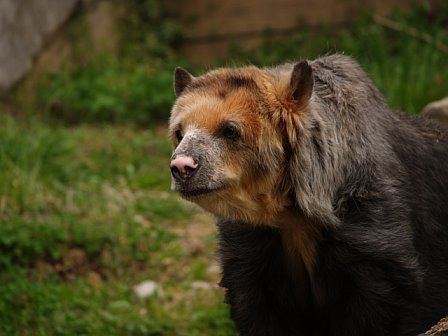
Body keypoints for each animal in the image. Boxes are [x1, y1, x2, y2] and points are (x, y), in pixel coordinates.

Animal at [168, 55, 448, 336]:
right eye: (179, 133)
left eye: (230, 130)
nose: (182, 167)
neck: (289, 212)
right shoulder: (252, 242)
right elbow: (254, 303)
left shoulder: (370, 218)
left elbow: (382, 301)